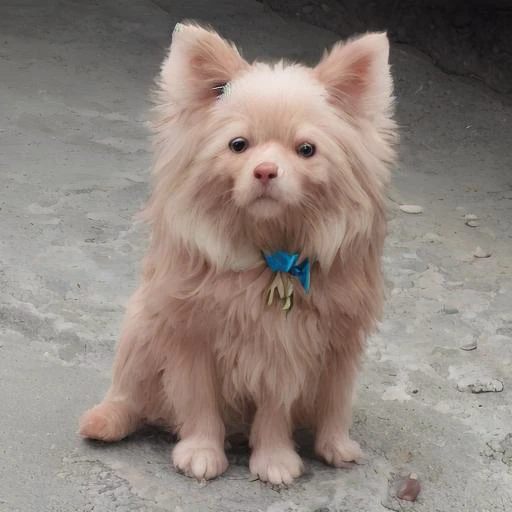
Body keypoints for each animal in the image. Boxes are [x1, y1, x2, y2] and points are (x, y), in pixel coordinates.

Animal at [79, 21, 396, 484]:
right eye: (238, 145)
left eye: (306, 150)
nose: (265, 171)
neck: (270, 254)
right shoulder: (191, 336)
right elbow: (199, 402)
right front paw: (201, 452)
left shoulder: (289, 349)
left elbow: (275, 412)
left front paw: (275, 460)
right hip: (140, 329)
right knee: (128, 394)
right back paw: (106, 420)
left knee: (334, 409)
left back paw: (336, 445)